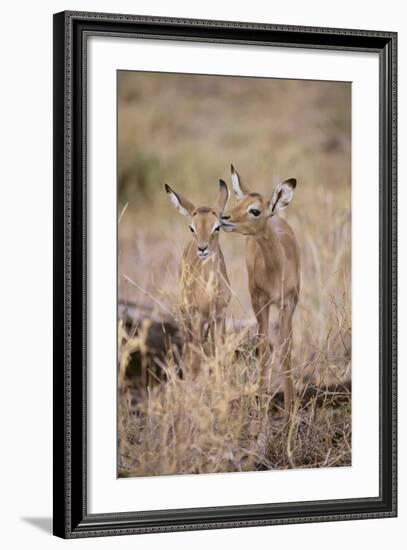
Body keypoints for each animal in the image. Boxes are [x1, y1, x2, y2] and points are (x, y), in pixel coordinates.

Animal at [164, 183, 231, 374]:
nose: (202, 248)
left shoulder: (220, 316)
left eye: (217, 226)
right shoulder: (197, 317)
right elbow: (194, 360)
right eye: (192, 227)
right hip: (187, 317)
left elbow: (220, 355)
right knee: (190, 353)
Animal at [223, 166, 300, 412]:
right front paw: (262, 401)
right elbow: (264, 348)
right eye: (238, 201)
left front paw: (290, 412)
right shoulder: (260, 302)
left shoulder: (288, 304)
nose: (224, 218)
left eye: (254, 210)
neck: (277, 270)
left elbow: (286, 351)